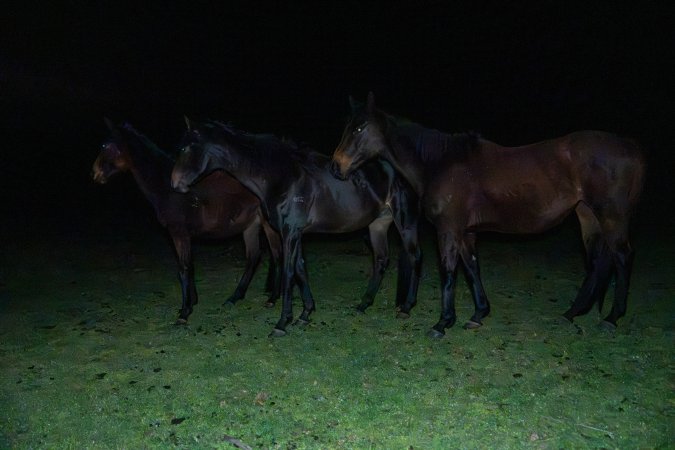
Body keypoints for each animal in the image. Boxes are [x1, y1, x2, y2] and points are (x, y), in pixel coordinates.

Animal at [92, 119, 282, 323]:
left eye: (105, 145)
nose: (95, 174)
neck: (167, 188)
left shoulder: (179, 232)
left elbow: (183, 268)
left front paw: (184, 313)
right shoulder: (184, 235)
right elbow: (189, 266)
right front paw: (193, 302)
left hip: (267, 225)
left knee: (277, 255)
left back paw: (272, 298)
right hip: (250, 226)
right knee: (254, 257)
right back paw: (235, 297)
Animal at [171, 119, 422, 337]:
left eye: (185, 148)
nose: (174, 184)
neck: (282, 176)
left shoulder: (289, 232)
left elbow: (289, 272)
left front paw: (282, 323)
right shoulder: (295, 233)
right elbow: (301, 269)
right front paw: (305, 314)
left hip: (405, 222)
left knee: (414, 256)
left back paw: (406, 307)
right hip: (377, 224)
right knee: (380, 260)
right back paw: (363, 304)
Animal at [330, 93, 646, 337]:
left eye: (360, 129)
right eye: (347, 127)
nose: (336, 166)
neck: (440, 162)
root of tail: (630, 146)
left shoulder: (448, 229)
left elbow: (448, 270)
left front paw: (442, 323)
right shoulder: (467, 231)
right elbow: (471, 268)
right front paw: (478, 314)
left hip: (611, 216)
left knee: (621, 257)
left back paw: (611, 318)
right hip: (588, 216)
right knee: (598, 262)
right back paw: (573, 312)